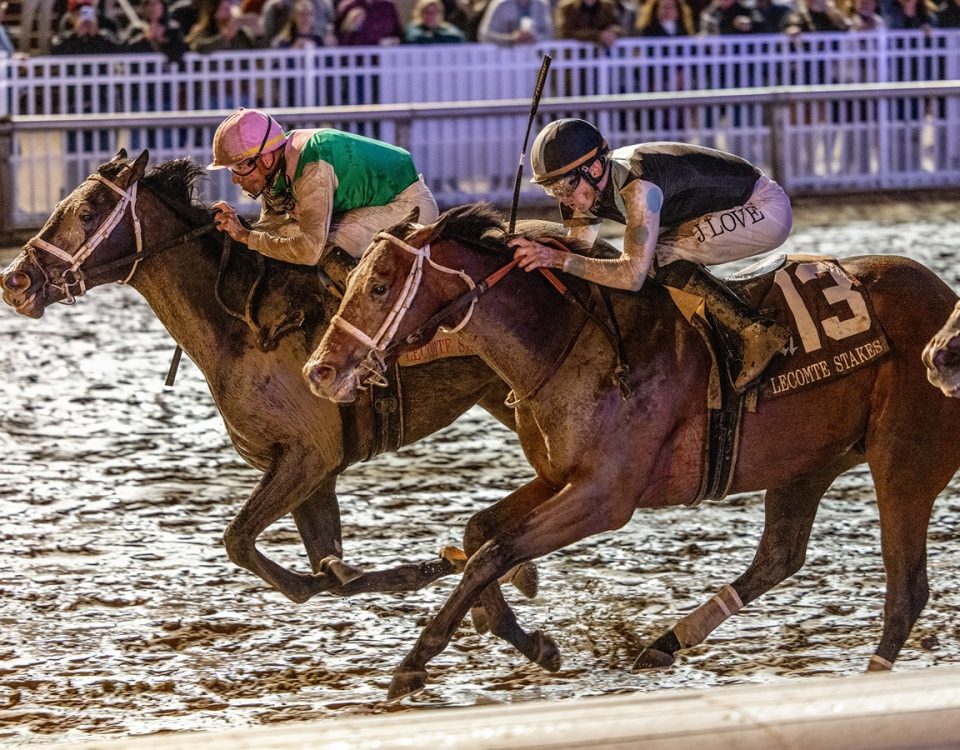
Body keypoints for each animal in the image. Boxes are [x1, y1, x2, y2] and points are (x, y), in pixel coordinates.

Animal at [0, 151, 524, 604]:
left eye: (87, 212)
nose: (14, 281)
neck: (243, 325)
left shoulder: (308, 455)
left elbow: (240, 541)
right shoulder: (313, 470)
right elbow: (327, 566)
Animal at [304, 204, 960, 700]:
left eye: (380, 286)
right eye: (353, 283)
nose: (320, 371)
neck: (566, 342)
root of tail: (944, 298)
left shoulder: (606, 497)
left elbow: (493, 551)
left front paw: (415, 662)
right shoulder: (559, 476)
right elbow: (480, 533)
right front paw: (529, 638)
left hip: (903, 462)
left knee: (906, 588)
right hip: (810, 461)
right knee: (780, 556)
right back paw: (665, 643)